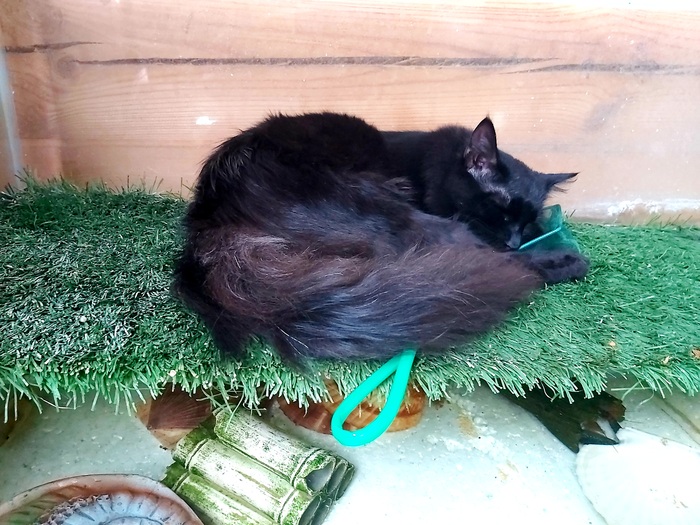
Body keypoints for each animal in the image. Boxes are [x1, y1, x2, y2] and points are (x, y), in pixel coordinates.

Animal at [173, 112, 589, 362]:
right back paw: (567, 264)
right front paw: (560, 258)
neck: (434, 166)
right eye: (501, 211)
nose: (515, 239)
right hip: (392, 210)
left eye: (527, 222)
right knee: (491, 261)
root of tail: (211, 215)